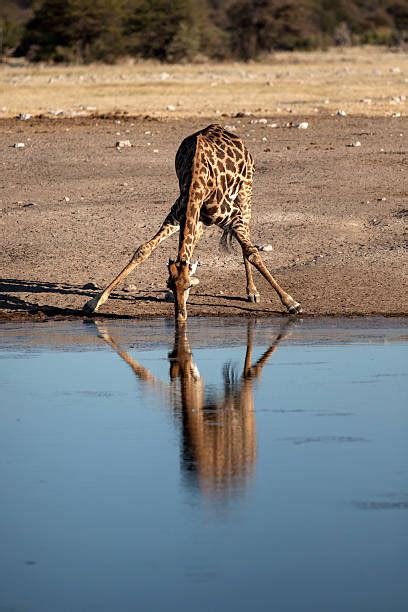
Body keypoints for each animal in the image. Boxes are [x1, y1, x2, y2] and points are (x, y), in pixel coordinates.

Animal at [83, 123, 302, 320]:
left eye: (188, 285)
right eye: (169, 284)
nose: (180, 316)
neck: (197, 182)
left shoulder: (231, 216)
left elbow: (252, 252)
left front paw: (291, 303)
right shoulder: (176, 215)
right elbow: (144, 249)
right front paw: (94, 302)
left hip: (245, 192)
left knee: (246, 241)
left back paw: (252, 292)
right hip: (201, 219)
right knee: (195, 242)